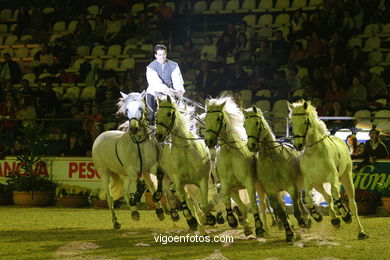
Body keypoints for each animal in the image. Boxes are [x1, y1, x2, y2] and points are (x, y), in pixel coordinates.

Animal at [93, 91, 166, 228]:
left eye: (140, 108)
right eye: (126, 110)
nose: (133, 128)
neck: (138, 143)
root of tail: (100, 136)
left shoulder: (149, 168)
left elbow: (155, 181)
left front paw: (158, 203)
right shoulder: (133, 171)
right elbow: (138, 187)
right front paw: (135, 203)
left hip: (124, 175)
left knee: (126, 191)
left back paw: (135, 211)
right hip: (105, 173)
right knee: (110, 197)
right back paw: (116, 221)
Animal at [155, 95, 216, 234]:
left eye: (169, 113)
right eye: (157, 114)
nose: (159, 135)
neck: (185, 152)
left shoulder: (203, 180)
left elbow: (204, 204)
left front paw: (209, 218)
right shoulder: (179, 182)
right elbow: (185, 203)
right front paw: (192, 221)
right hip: (171, 179)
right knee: (177, 197)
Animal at [204, 97, 268, 238]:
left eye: (218, 118)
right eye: (205, 119)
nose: (209, 141)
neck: (230, 152)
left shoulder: (249, 182)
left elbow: (253, 205)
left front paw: (259, 228)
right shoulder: (226, 184)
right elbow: (228, 201)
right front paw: (233, 221)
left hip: (259, 185)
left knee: (262, 204)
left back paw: (267, 228)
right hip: (236, 189)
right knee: (242, 206)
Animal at [244, 105, 310, 242]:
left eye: (257, 123)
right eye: (244, 125)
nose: (251, 145)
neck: (272, 158)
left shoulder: (291, 186)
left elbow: (295, 208)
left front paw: (301, 222)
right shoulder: (271, 191)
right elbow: (281, 212)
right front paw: (289, 233)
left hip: (299, 185)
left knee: (300, 201)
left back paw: (307, 219)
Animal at [290, 100, 368, 240]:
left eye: (305, 122)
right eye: (292, 122)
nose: (298, 145)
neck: (314, 152)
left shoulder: (333, 176)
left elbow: (336, 194)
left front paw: (345, 215)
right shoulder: (309, 181)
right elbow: (309, 199)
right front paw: (317, 216)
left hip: (346, 178)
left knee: (352, 204)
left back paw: (360, 231)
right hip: (318, 184)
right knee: (328, 197)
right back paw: (335, 220)